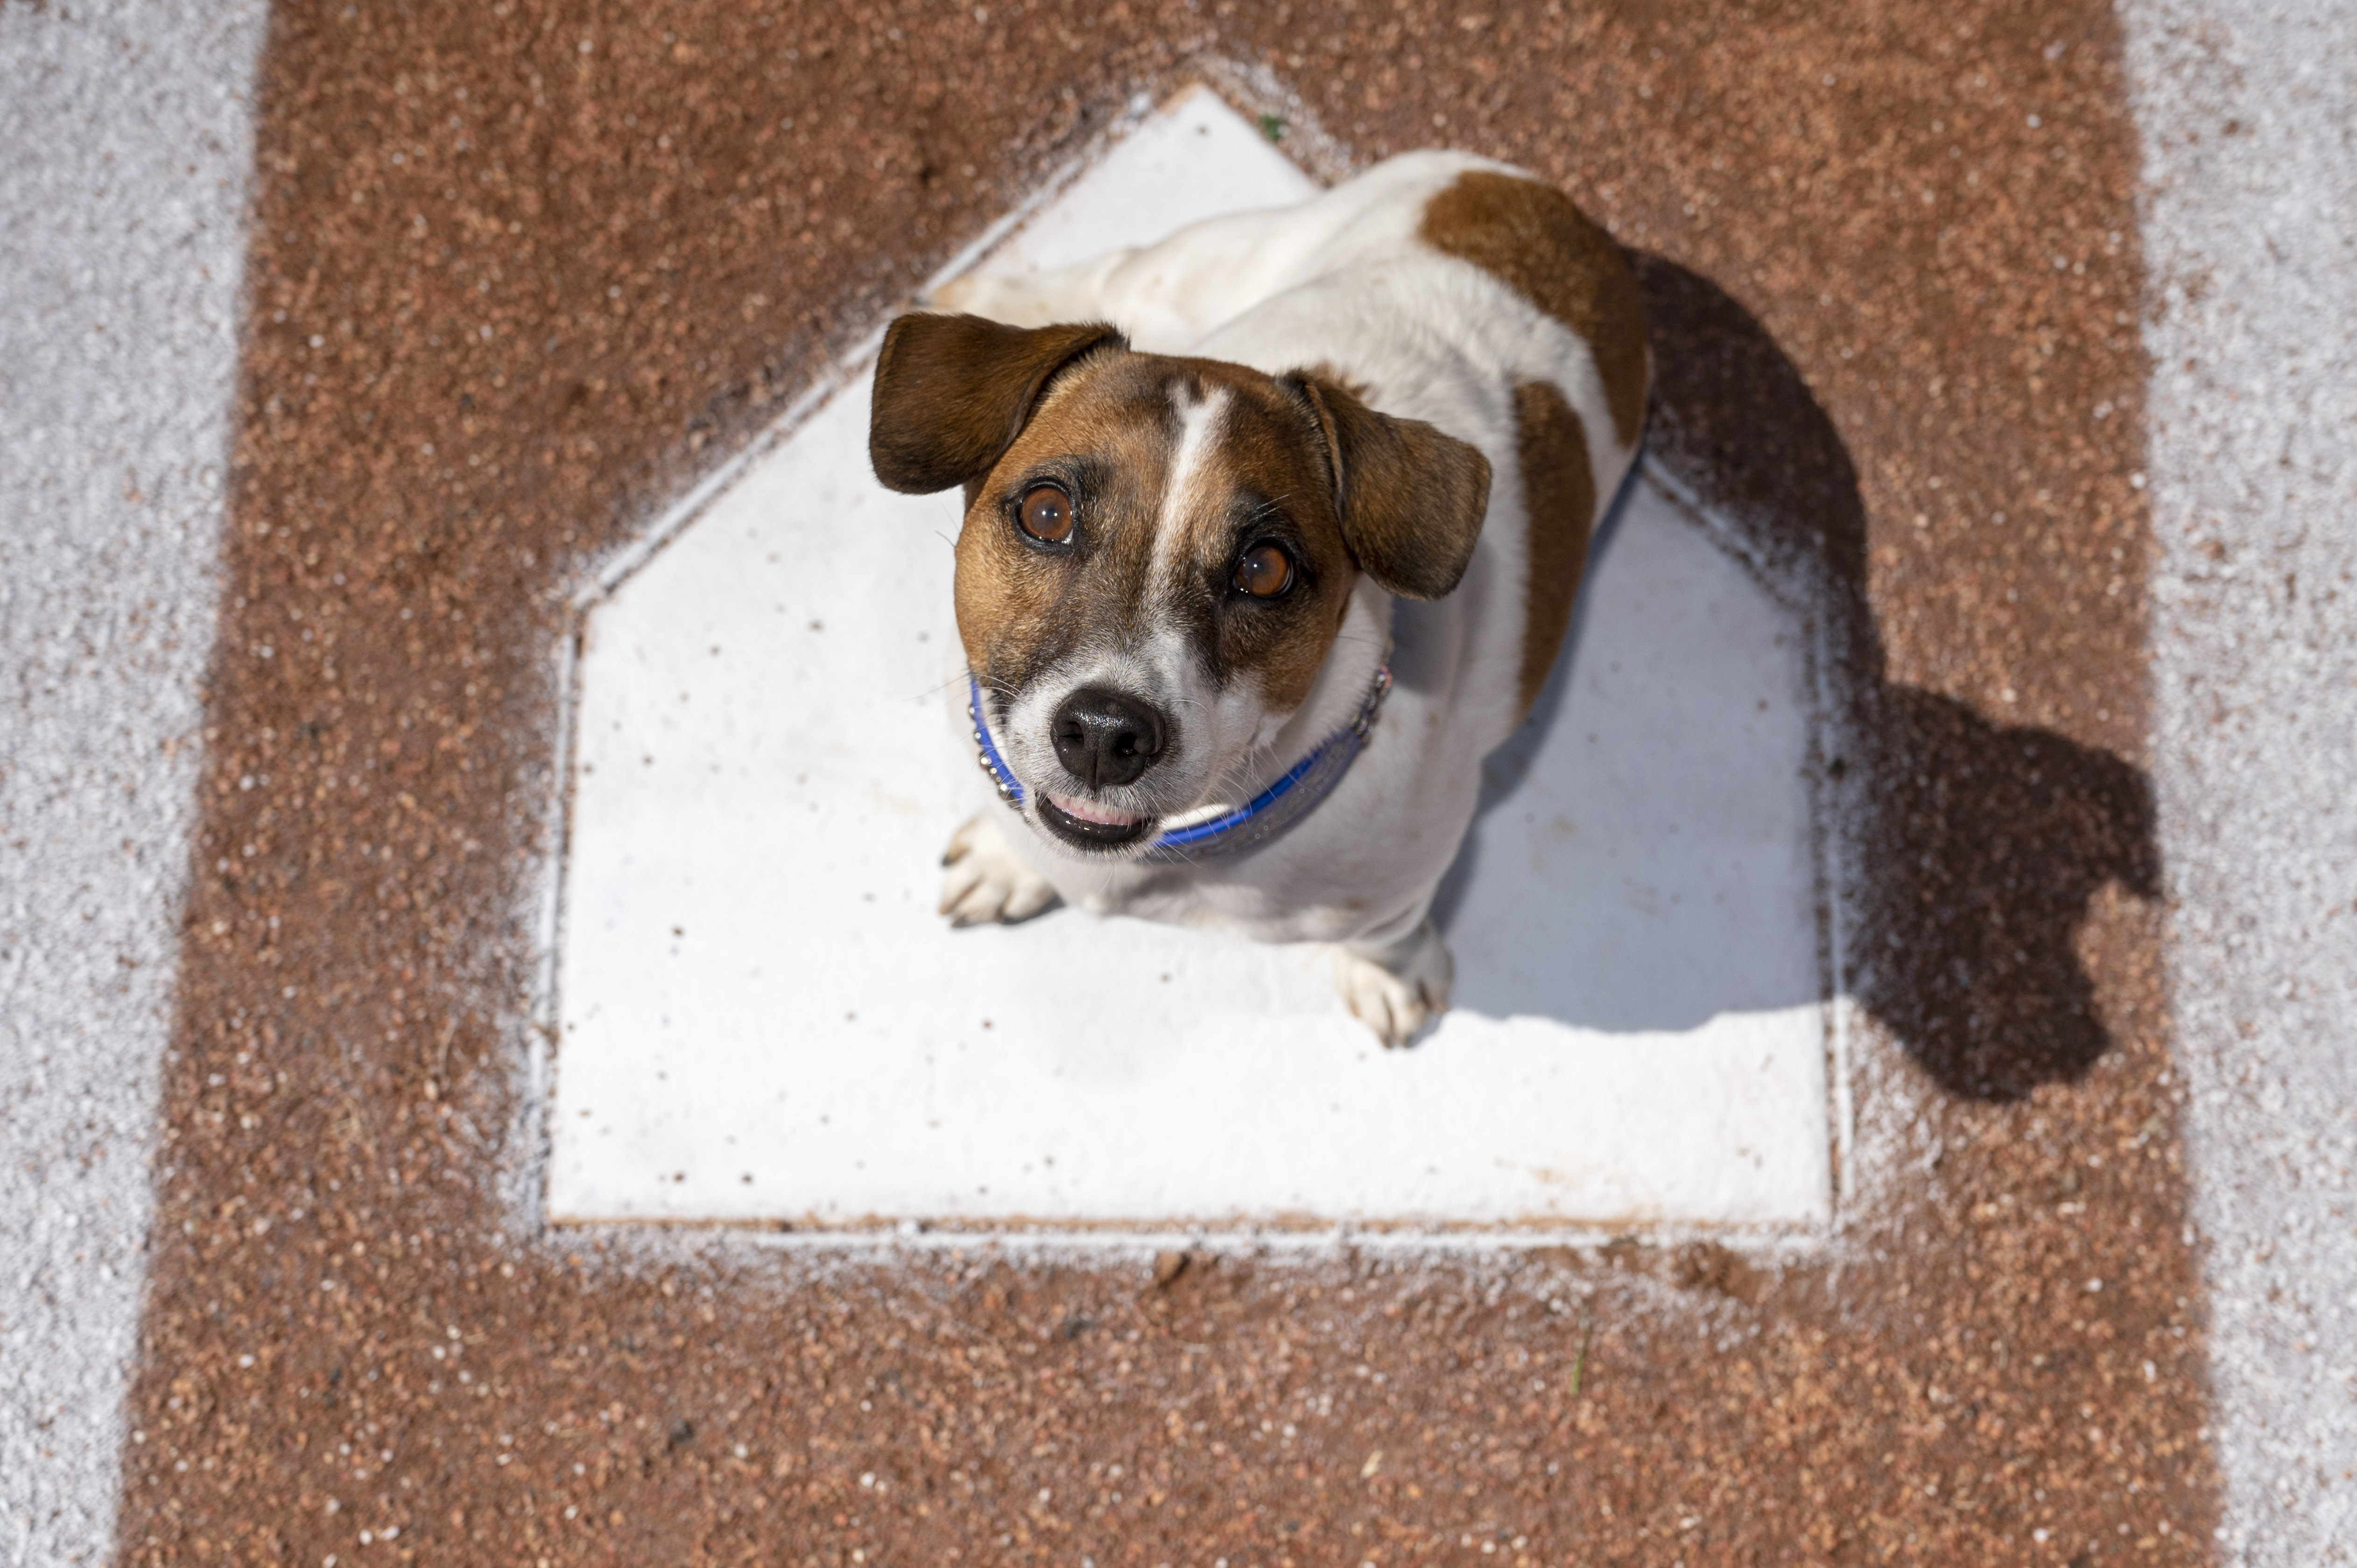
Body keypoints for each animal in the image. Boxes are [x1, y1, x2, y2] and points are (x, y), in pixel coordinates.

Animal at [862, 153, 1640, 1047]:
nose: (1104, 734)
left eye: (1264, 569)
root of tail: (1545, 201)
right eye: (1047, 513)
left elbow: (1392, 935)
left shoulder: (1397, 892)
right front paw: (1005, 858)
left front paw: (1389, 974)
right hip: (1197, 265)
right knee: (1112, 268)